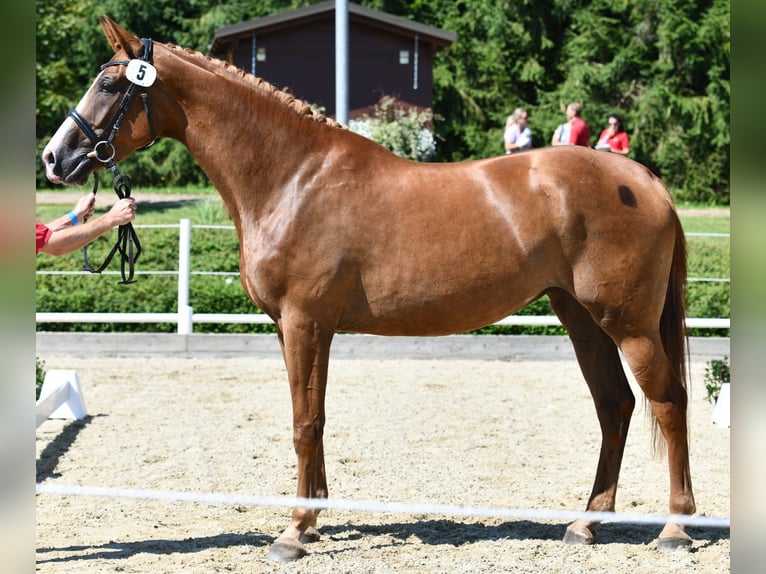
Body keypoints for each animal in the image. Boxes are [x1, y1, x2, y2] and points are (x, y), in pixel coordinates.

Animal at [45, 16, 700, 564]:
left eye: (109, 84)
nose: (55, 158)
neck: (292, 177)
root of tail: (644, 180)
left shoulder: (304, 321)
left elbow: (303, 422)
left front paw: (293, 533)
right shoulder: (300, 327)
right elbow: (315, 417)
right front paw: (313, 521)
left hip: (628, 324)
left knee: (668, 403)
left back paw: (675, 529)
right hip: (581, 318)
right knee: (614, 406)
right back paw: (586, 524)